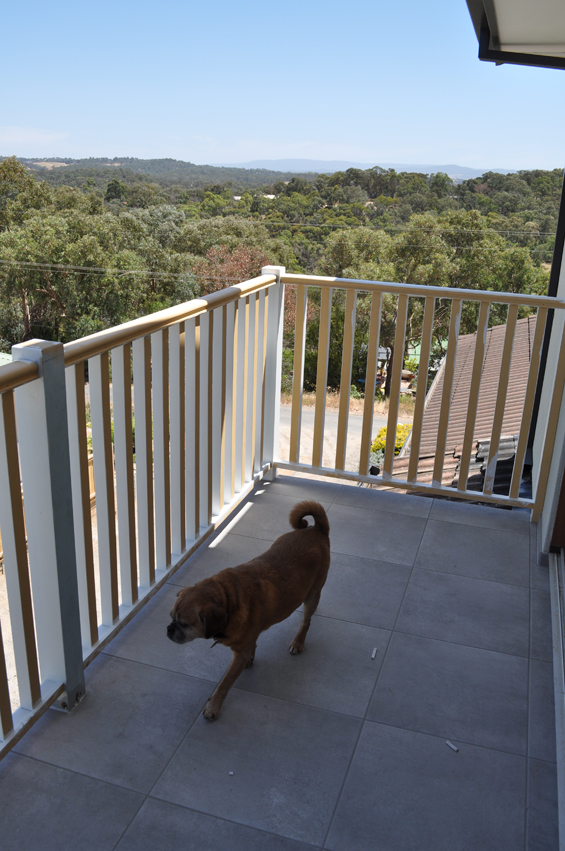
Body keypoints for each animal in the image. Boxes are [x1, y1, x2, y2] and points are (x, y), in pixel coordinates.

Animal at [165, 502, 328, 724]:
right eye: (171, 617)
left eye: (184, 624)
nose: (168, 630)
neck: (228, 599)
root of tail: (316, 529)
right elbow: (253, 645)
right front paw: (252, 656)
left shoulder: (238, 655)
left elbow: (224, 684)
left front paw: (213, 706)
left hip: (312, 596)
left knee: (306, 621)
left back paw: (298, 642)